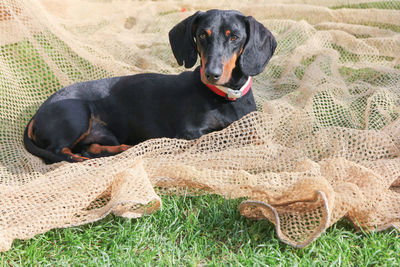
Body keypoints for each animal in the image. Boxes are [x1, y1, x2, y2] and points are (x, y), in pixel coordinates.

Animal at [23, 9, 276, 164]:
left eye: (234, 37)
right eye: (203, 35)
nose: (211, 74)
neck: (224, 97)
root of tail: (36, 114)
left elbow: (255, 136)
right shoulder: (188, 133)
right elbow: (219, 138)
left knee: (90, 147)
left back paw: (124, 150)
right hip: (76, 115)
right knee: (59, 152)